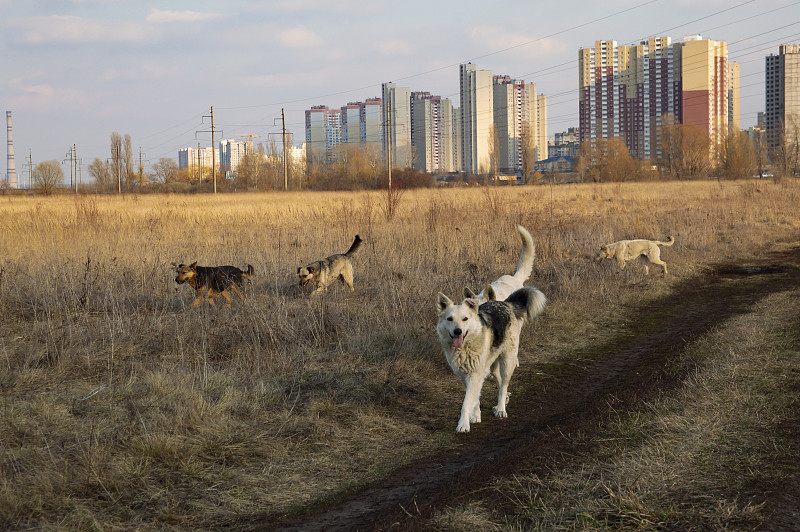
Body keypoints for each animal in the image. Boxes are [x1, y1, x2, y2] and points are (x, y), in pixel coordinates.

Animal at [434, 286, 548, 432]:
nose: (457, 331)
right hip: (492, 366)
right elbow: (475, 398)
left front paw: (463, 424)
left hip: (508, 362)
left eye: (465, 319)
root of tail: (504, 304)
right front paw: (476, 416)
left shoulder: (475, 375)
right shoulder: (465, 376)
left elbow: (466, 402)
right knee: (499, 381)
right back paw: (503, 400)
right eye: (449, 319)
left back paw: (501, 409)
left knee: (504, 385)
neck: (466, 346)